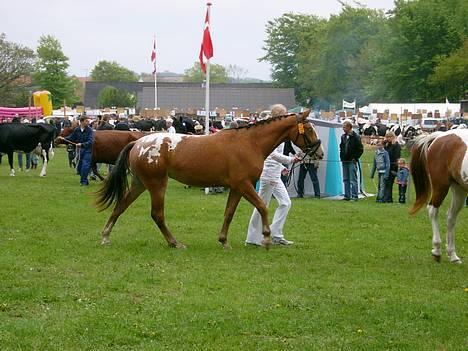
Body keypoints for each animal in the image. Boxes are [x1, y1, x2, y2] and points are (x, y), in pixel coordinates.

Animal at [95, 110, 322, 250]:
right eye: (310, 129)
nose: (319, 153)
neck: (250, 143)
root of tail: (138, 142)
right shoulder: (244, 185)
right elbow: (262, 207)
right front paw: (266, 238)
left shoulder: (236, 188)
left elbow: (229, 213)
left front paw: (224, 241)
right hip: (157, 184)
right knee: (157, 215)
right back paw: (175, 243)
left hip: (140, 184)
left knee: (120, 206)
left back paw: (105, 236)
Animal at [410, 131, 468, 266]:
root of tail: (439, 136)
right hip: (441, 186)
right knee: (433, 210)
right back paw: (436, 251)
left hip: (459, 190)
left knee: (451, 217)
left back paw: (453, 256)